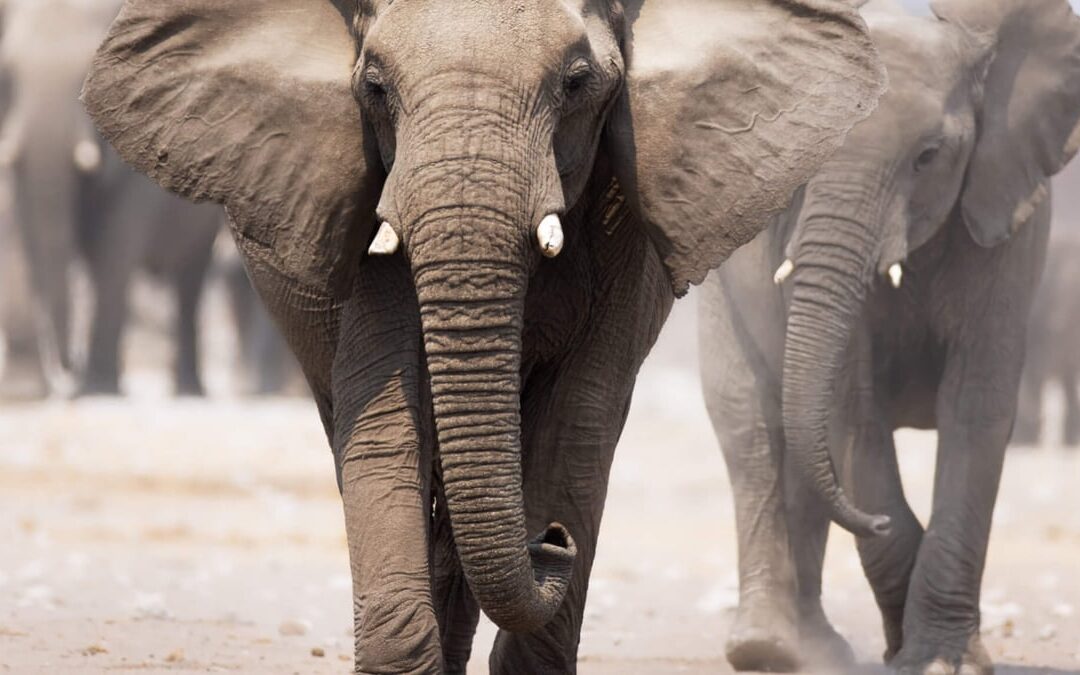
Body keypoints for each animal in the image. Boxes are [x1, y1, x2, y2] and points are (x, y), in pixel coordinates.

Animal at [0, 0, 223, 398]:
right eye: (8, 75)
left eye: (89, 79)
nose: (67, 373)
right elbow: (24, 232)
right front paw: (25, 390)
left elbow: (114, 245)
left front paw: (97, 389)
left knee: (189, 280)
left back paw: (188, 391)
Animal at [82, 0, 885, 671]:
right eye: (374, 85)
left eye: (577, 82)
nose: (551, 542)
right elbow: (385, 413)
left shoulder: (630, 211)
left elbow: (581, 418)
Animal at [698, 0, 1080, 673]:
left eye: (929, 155)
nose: (870, 522)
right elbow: (852, 413)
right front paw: (911, 645)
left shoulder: (1009, 217)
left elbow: (976, 407)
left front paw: (943, 661)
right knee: (753, 425)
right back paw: (776, 650)